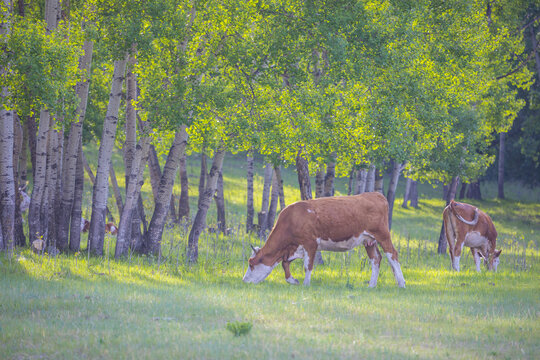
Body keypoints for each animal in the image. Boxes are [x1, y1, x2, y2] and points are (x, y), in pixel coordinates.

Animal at [242, 193, 404, 288]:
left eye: (251, 264)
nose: (244, 280)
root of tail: (376, 194)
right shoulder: (295, 248)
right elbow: (285, 263)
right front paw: (293, 280)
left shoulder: (310, 243)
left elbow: (307, 266)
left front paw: (306, 284)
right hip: (368, 241)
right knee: (376, 259)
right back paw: (371, 285)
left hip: (382, 235)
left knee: (393, 255)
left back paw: (401, 283)